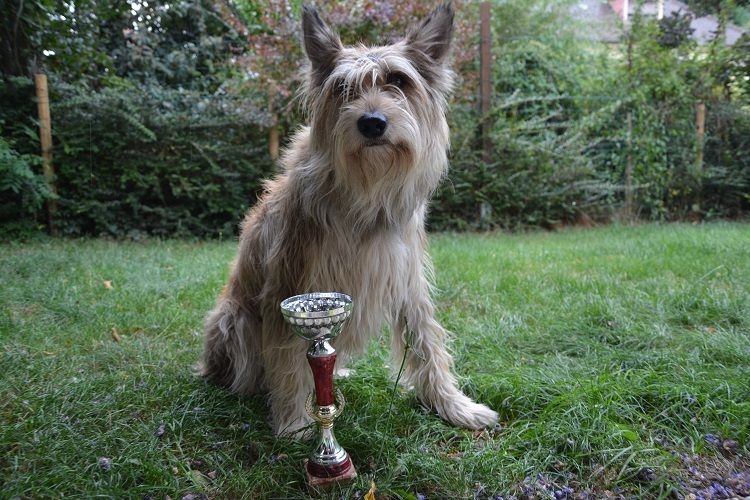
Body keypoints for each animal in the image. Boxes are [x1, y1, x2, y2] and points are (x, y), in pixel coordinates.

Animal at [200, 2, 498, 436]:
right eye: (343, 89)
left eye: (398, 80)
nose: (372, 122)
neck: (363, 194)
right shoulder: (289, 284)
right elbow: (286, 357)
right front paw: (295, 423)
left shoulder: (406, 277)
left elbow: (427, 340)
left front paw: (453, 405)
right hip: (234, 320)